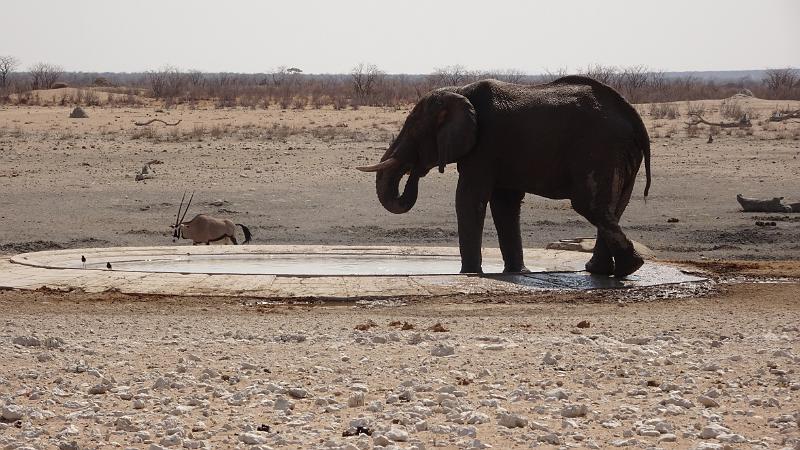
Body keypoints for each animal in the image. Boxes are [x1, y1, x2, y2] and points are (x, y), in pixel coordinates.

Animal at [356, 75, 648, 276]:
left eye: (414, 132)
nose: (414, 171)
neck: (459, 92)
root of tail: (634, 117)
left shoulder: (486, 144)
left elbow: (468, 198)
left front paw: (469, 273)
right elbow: (504, 204)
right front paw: (517, 272)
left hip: (600, 149)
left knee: (590, 205)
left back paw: (627, 268)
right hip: (619, 154)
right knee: (614, 206)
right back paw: (604, 271)